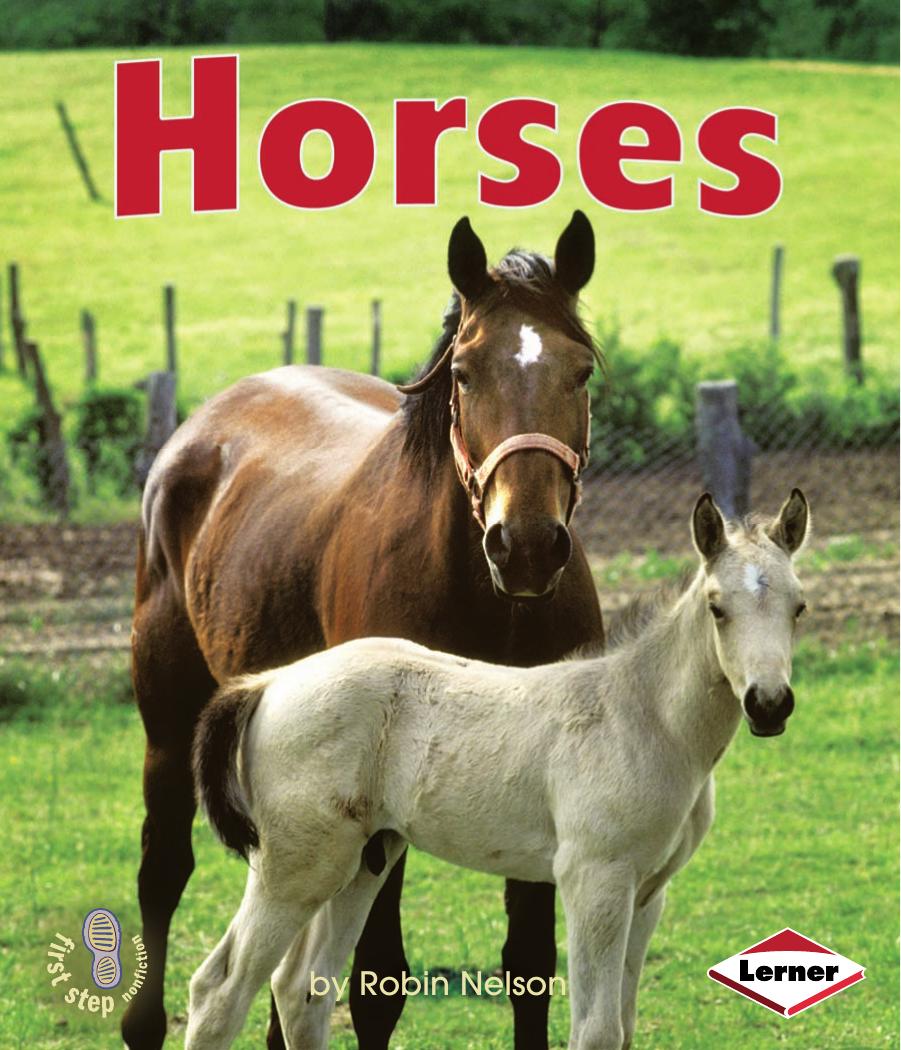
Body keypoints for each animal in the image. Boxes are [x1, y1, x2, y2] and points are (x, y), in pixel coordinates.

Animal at [123, 211, 606, 1050]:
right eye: (464, 373)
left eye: (578, 371)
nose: (525, 545)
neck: (489, 600)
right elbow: (377, 982)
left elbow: (530, 965)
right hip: (172, 725)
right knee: (165, 873)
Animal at [186, 488, 810, 1050]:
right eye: (716, 606)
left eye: (798, 607)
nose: (769, 705)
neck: (644, 717)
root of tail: (270, 683)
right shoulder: (594, 878)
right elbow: (597, 1031)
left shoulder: (648, 892)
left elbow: (624, 1029)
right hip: (295, 867)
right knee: (219, 992)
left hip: (361, 862)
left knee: (300, 989)